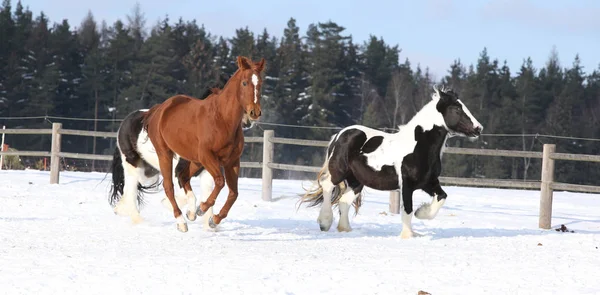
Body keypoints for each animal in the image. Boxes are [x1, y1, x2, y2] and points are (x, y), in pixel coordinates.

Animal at [108, 73, 253, 230]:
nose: (249, 120)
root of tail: (125, 122)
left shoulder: (206, 173)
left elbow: (207, 195)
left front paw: (209, 223)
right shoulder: (177, 171)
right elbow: (185, 194)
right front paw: (187, 212)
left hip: (150, 172)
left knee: (129, 190)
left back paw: (119, 209)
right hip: (134, 166)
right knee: (131, 190)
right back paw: (137, 219)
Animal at [143, 55, 264, 231]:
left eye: (260, 83)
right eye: (244, 83)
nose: (254, 113)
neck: (222, 120)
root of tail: (159, 110)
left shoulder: (232, 161)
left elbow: (234, 193)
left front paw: (214, 219)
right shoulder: (207, 156)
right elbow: (220, 182)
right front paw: (203, 208)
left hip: (195, 160)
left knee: (183, 176)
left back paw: (191, 212)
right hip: (165, 154)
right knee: (169, 186)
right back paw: (182, 221)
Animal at [300, 85, 482, 238]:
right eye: (456, 108)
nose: (478, 128)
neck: (418, 147)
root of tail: (339, 135)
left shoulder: (429, 182)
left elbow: (442, 197)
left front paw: (421, 213)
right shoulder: (407, 184)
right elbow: (407, 210)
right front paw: (408, 235)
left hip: (356, 181)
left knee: (344, 201)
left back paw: (345, 229)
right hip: (338, 171)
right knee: (327, 186)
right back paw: (324, 222)